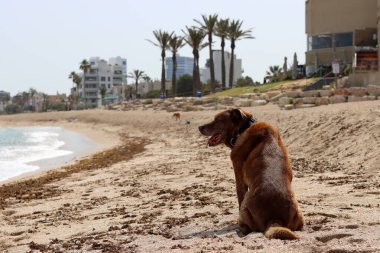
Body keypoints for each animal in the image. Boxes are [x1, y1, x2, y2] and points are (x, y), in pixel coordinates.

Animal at [199, 108, 302, 239]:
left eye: (218, 120)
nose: (199, 127)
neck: (244, 128)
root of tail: (274, 219)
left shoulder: (239, 179)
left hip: (246, 205)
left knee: (245, 226)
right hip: (299, 212)